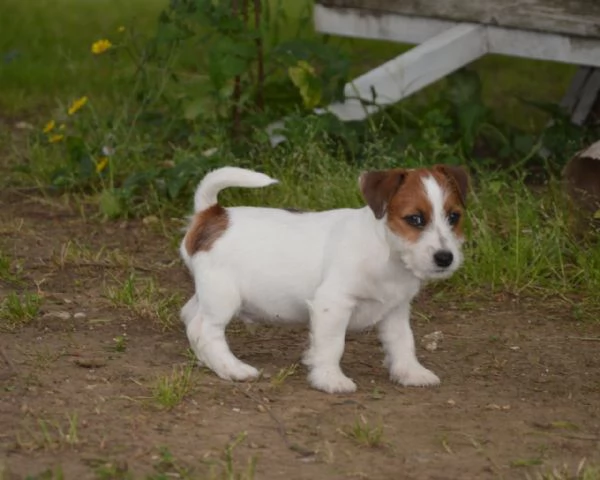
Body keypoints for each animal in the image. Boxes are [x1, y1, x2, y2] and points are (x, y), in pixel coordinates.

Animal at [180, 165, 472, 394]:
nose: (445, 258)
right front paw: (330, 379)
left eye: (454, 217)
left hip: (208, 293)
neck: (387, 252)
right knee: (204, 330)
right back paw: (233, 368)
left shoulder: (396, 310)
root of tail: (213, 214)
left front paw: (410, 372)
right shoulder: (333, 304)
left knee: (189, 315)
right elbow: (333, 345)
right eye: (415, 219)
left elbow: (402, 342)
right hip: (223, 297)